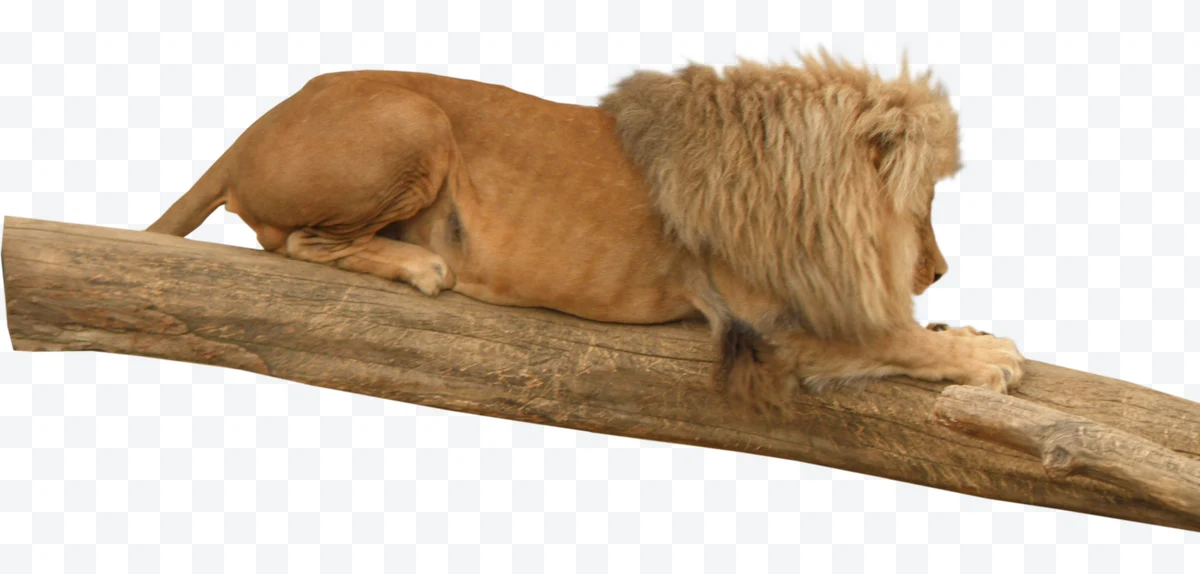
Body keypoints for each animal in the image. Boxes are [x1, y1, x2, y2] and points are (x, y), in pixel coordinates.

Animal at [147, 52, 1023, 410]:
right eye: (922, 203)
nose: (937, 272)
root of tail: (251, 130)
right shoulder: (760, 324)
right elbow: (895, 342)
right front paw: (992, 358)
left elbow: (908, 334)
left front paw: (969, 331)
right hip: (414, 120)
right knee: (297, 242)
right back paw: (423, 266)